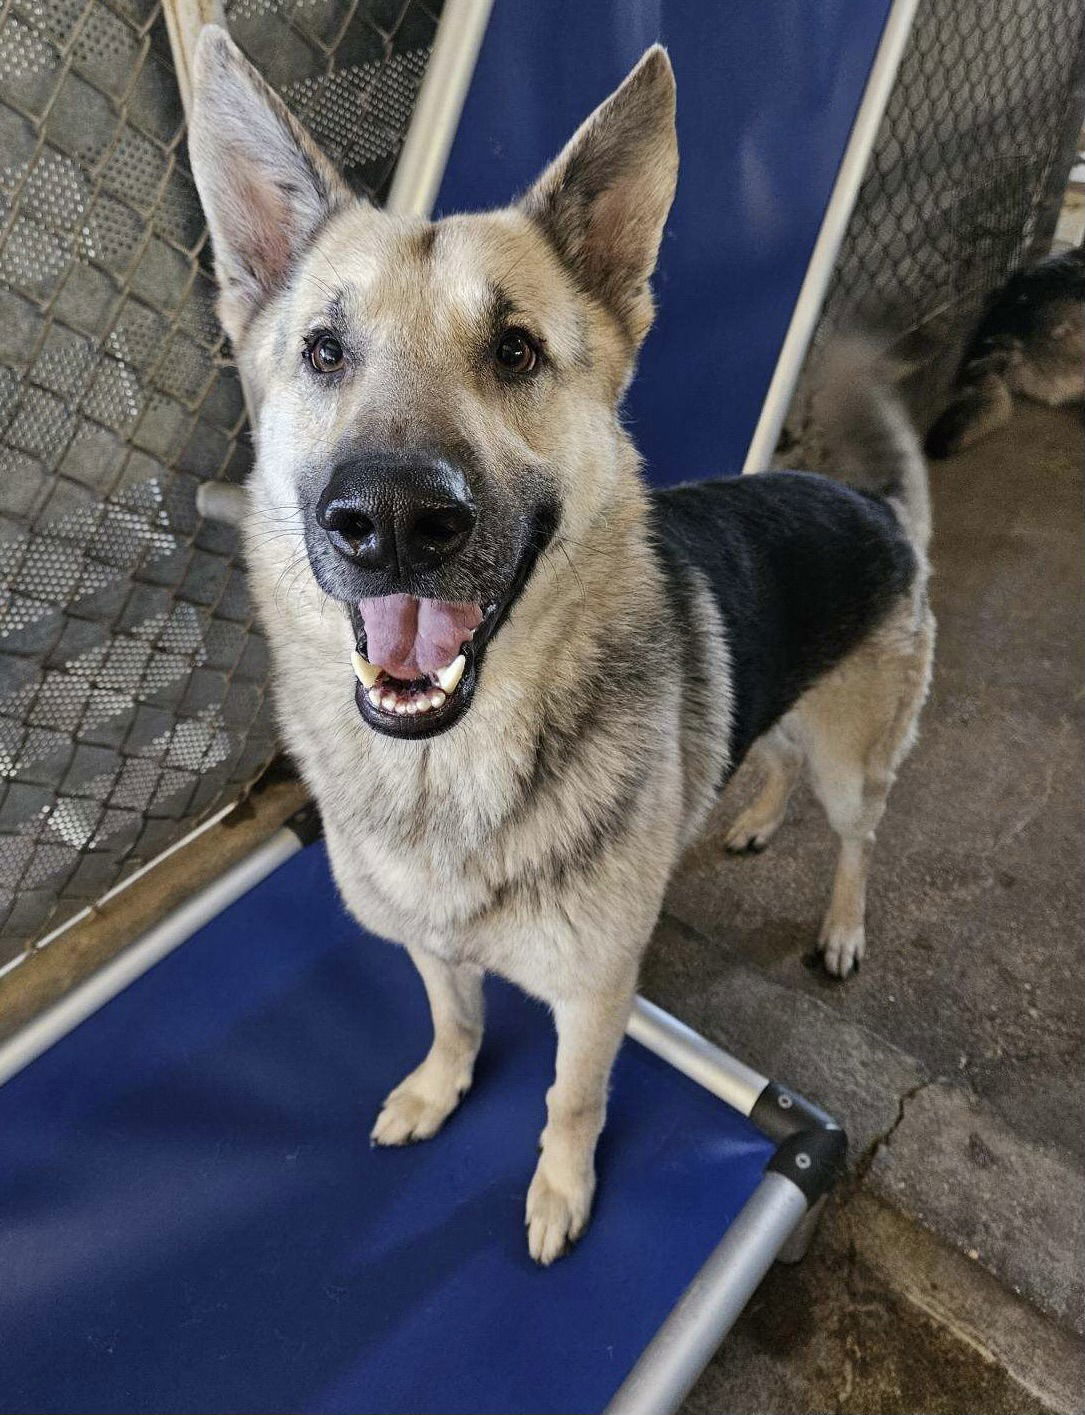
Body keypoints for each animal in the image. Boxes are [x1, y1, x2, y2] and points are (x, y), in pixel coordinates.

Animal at [189, 30, 933, 1262]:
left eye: (515, 351)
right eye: (324, 350)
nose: (392, 521)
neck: (446, 773)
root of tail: (869, 503)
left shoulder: (594, 993)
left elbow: (571, 1098)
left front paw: (559, 1188)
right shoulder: (432, 948)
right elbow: (452, 1018)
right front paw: (438, 1088)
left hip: (853, 761)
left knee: (857, 840)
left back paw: (838, 926)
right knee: (769, 757)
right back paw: (749, 815)